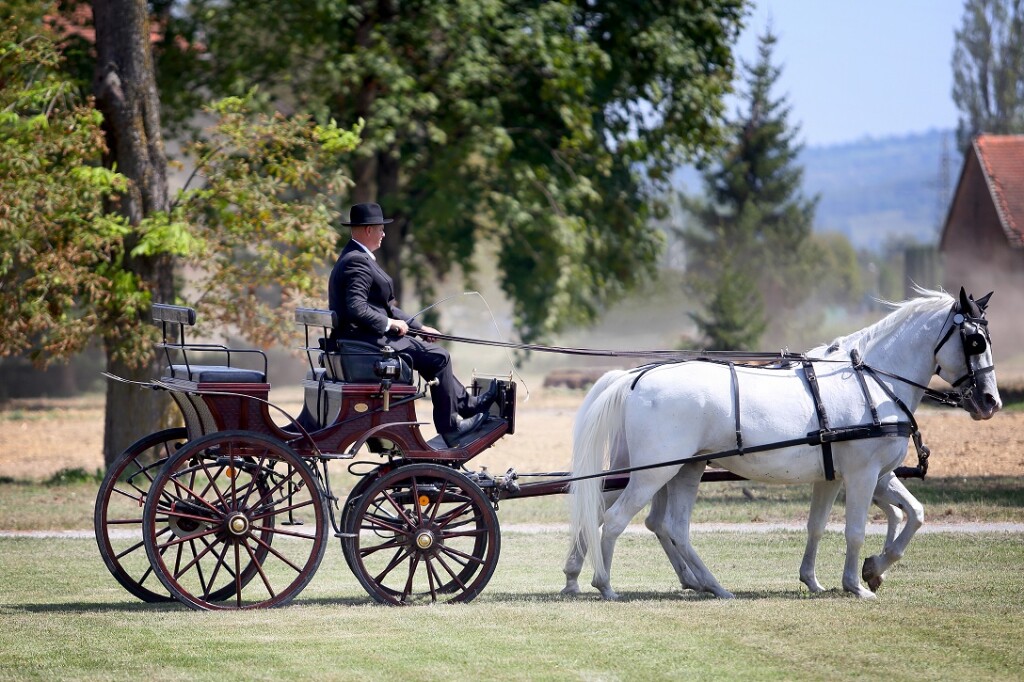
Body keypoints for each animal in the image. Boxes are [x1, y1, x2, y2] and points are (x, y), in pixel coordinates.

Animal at [573, 288, 1003, 598]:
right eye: (975, 341)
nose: (990, 402)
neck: (872, 381)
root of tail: (634, 378)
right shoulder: (863, 475)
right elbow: (855, 529)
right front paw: (856, 585)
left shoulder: (841, 476)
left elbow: (866, 519)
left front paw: (836, 576)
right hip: (654, 473)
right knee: (616, 519)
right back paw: (605, 584)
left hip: (680, 469)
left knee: (662, 524)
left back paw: (709, 585)